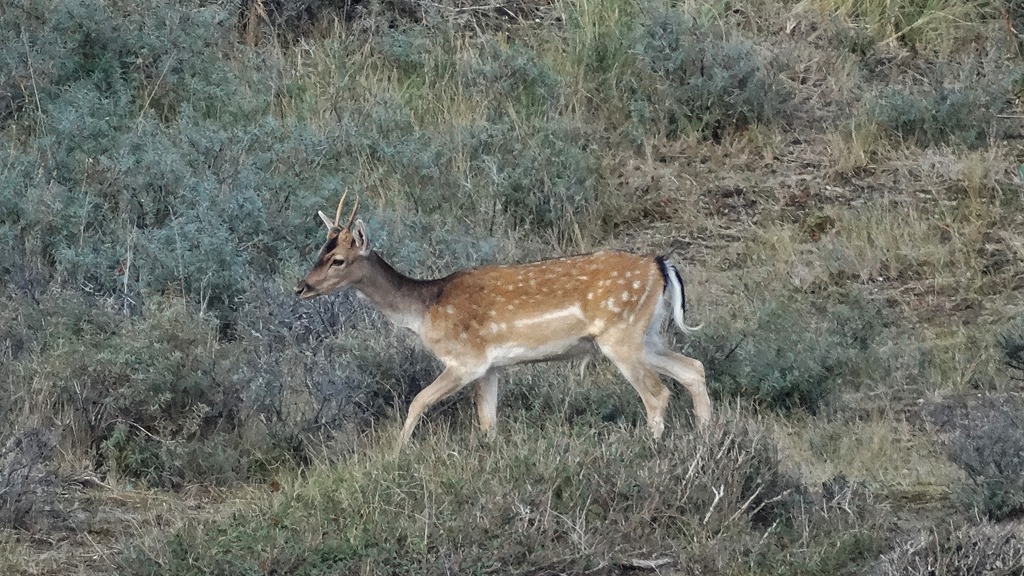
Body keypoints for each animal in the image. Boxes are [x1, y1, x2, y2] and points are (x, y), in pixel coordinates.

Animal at [295, 192, 712, 446]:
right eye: (319, 251)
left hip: (620, 334)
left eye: (338, 260)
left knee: (657, 392)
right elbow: (487, 422)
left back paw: (653, 444)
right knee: (693, 367)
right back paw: (707, 435)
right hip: (648, 335)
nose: (302, 287)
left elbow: (418, 401)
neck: (426, 310)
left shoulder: (466, 359)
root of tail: (660, 265)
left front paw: (397, 454)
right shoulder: (491, 367)